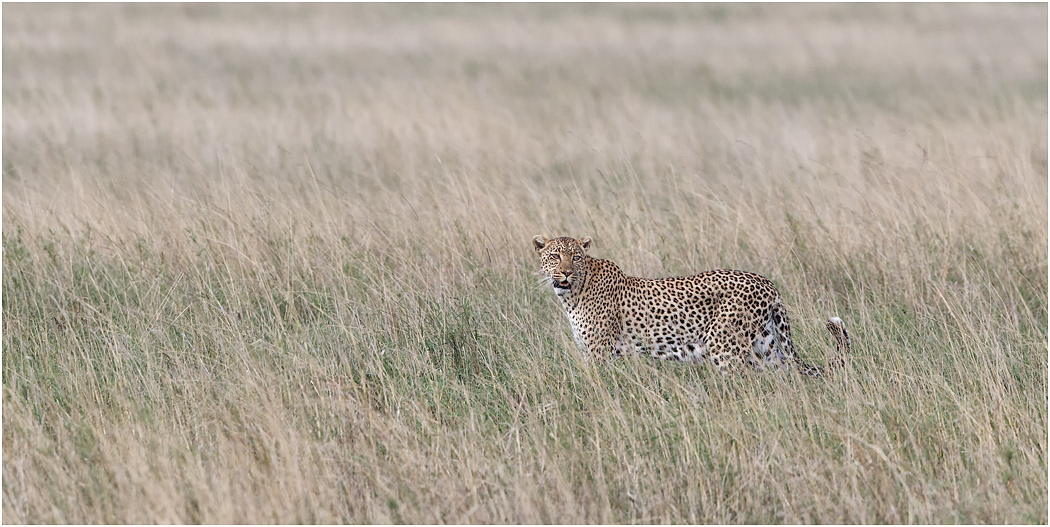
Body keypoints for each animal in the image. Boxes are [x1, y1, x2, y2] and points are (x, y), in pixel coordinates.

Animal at [533, 235, 851, 376]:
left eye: (575, 257)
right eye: (555, 256)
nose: (565, 273)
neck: (574, 293)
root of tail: (767, 283)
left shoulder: (599, 354)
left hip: (724, 347)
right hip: (767, 346)